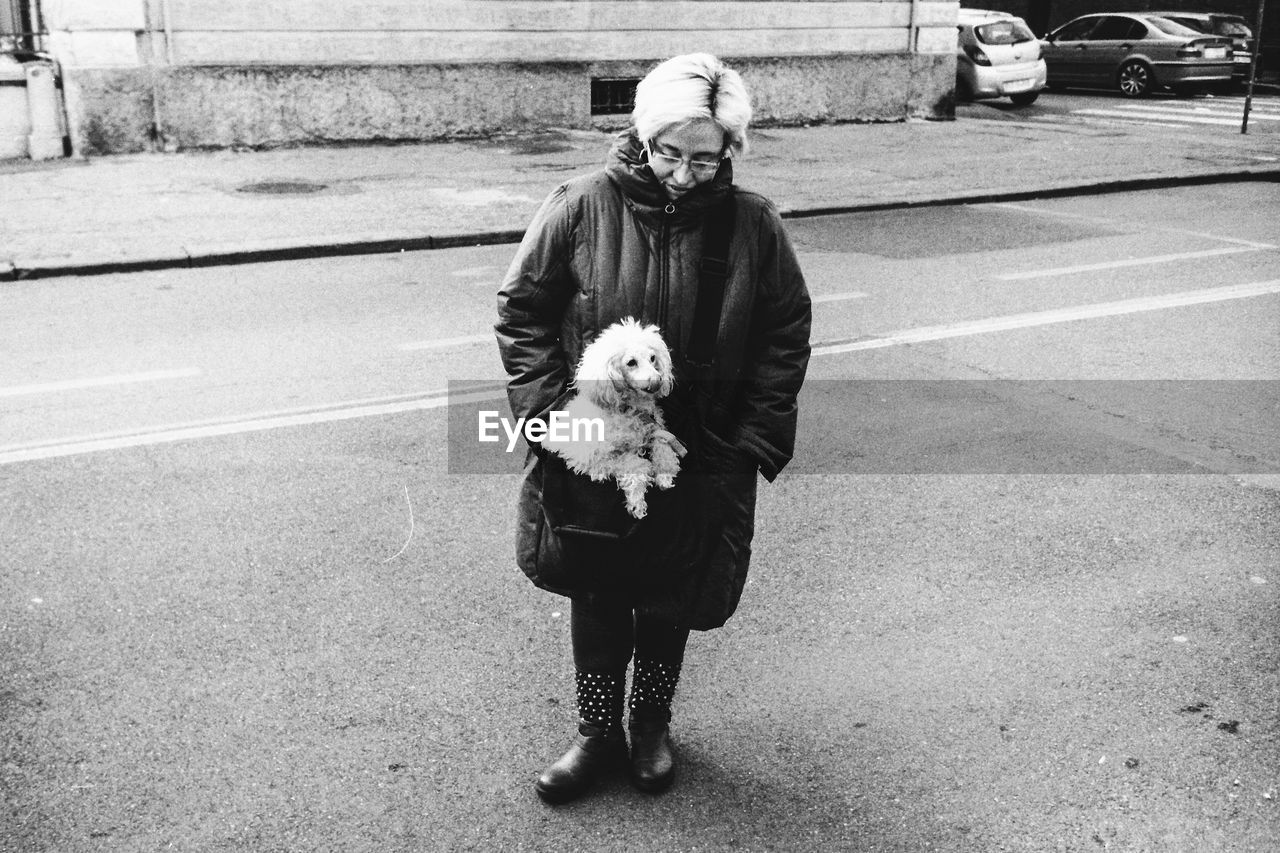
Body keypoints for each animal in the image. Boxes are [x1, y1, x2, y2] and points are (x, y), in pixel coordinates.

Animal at [542, 315, 686, 517]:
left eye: (653, 358)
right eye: (631, 362)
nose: (658, 381)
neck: (630, 409)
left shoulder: (654, 427)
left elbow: (663, 444)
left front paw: (665, 471)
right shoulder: (592, 455)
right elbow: (634, 464)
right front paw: (638, 501)